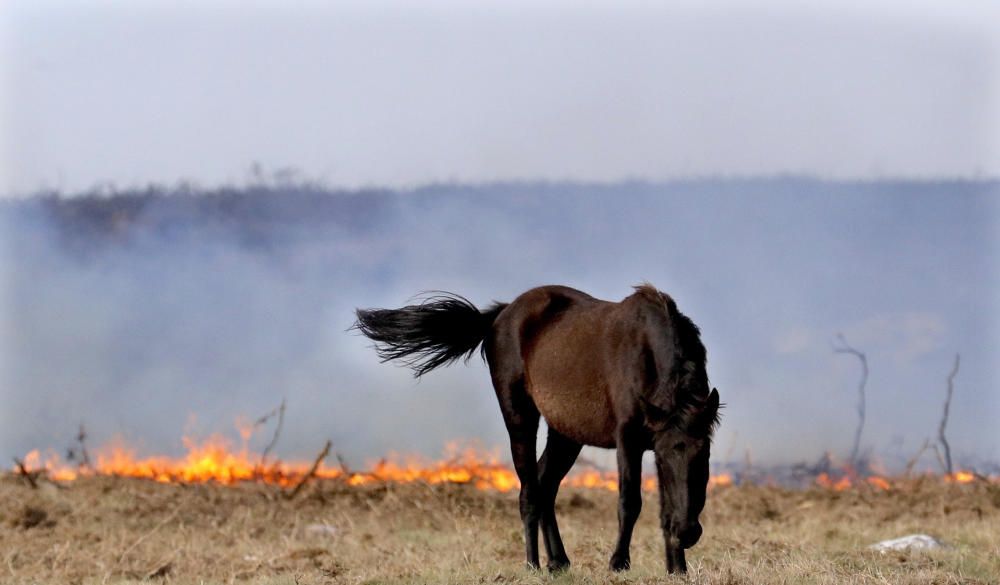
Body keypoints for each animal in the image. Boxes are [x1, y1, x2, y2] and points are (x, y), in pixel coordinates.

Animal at [356, 286, 724, 572]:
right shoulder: (629, 438)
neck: (646, 350)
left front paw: (677, 568)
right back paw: (532, 564)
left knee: (546, 485)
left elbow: (664, 506)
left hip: (565, 435)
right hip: (520, 418)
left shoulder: (656, 436)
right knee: (529, 491)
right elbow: (629, 500)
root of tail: (501, 313)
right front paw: (619, 563)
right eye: (664, 459)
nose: (688, 532)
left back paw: (558, 561)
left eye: (704, 456)